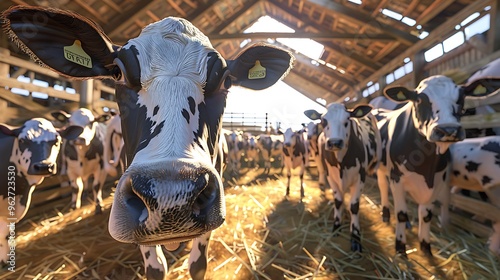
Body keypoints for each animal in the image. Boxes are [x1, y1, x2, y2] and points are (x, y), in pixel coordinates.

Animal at [304, 104, 378, 253]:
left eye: (347, 120)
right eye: (323, 120)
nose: (335, 142)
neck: (341, 162)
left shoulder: (360, 177)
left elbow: (354, 206)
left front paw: (355, 237)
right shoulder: (331, 177)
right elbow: (338, 201)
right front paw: (336, 227)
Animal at [376, 74, 500, 256]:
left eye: (461, 97)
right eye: (419, 99)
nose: (448, 129)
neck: (426, 165)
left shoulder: (437, 180)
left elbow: (426, 215)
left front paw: (425, 246)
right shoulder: (396, 177)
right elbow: (401, 214)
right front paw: (400, 247)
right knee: (383, 186)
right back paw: (385, 214)